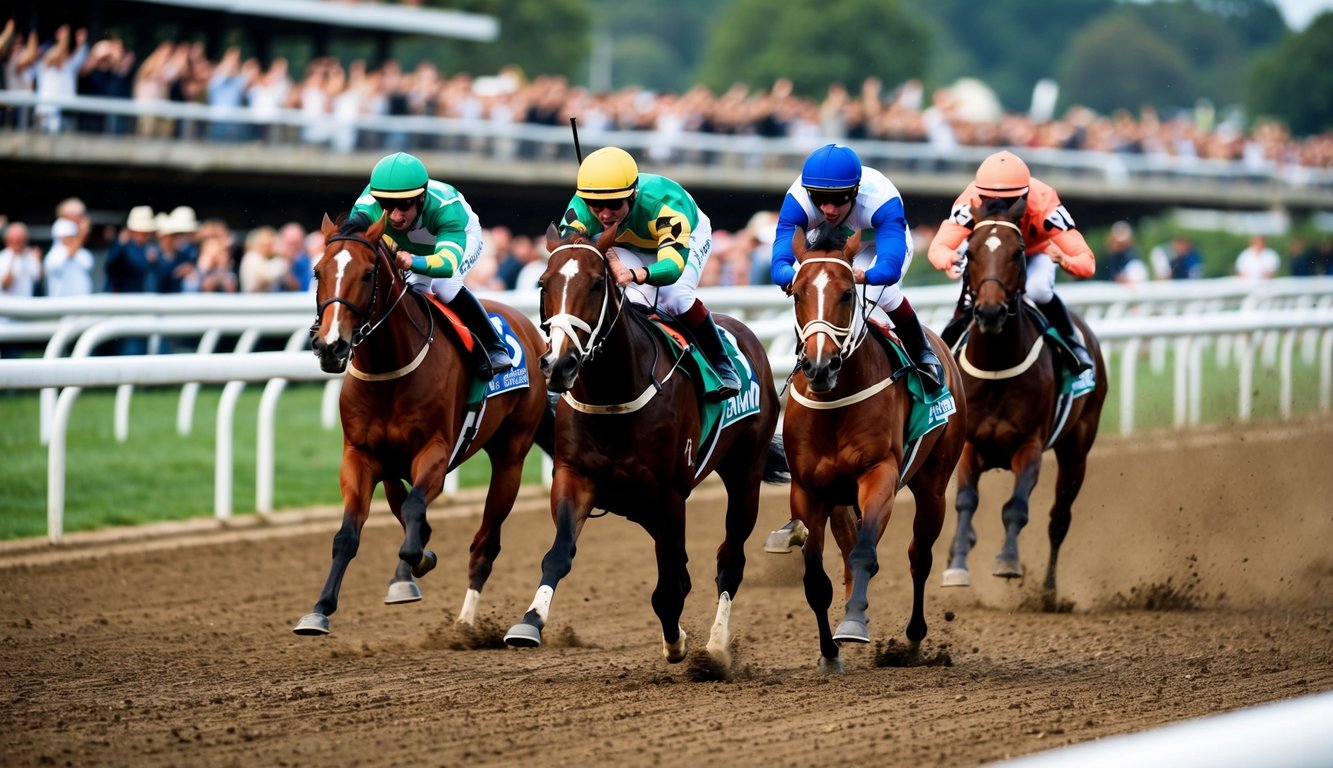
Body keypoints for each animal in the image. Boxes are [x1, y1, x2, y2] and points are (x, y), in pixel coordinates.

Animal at [295, 212, 551, 634]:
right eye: (318, 272)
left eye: (368, 274)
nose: (331, 346)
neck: (389, 370)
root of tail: (529, 331)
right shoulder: (361, 455)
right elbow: (349, 533)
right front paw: (319, 609)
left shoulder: (435, 450)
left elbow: (415, 509)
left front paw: (415, 562)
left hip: (511, 454)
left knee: (485, 543)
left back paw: (465, 620)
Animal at [503, 224, 783, 672]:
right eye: (543, 284)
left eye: (596, 284)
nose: (560, 365)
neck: (613, 391)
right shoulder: (575, 477)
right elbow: (559, 554)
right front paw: (528, 623)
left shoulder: (669, 493)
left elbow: (668, 587)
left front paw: (678, 642)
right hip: (642, 507)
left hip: (744, 475)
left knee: (729, 561)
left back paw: (716, 647)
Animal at [783, 221, 965, 672]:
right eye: (796, 293)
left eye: (848, 293)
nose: (819, 366)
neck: (834, 403)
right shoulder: (808, 490)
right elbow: (816, 577)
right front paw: (829, 652)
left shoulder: (879, 472)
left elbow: (867, 553)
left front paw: (851, 626)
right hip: (840, 500)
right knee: (850, 549)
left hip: (933, 485)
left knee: (919, 555)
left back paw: (913, 639)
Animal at [943, 196, 1109, 600]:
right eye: (969, 251)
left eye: (1018, 251)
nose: (989, 312)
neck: (998, 365)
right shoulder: (970, 445)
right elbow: (966, 501)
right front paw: (957, 566)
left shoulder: (1029, 444)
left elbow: (1016, 507)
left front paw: (1007, 560)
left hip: (1076, 449)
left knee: (1059, 518)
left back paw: (1049, 590)